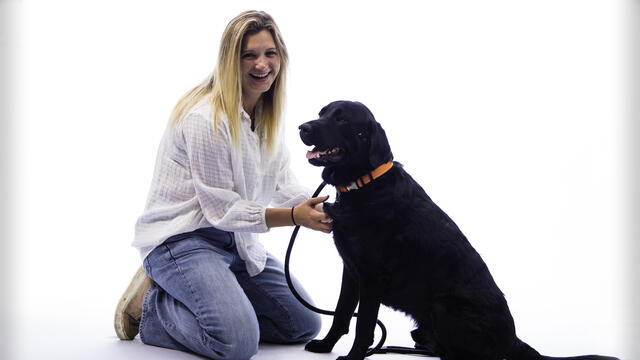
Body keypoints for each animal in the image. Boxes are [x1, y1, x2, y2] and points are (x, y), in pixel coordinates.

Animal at [298, 100, 620, 360]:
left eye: (342, 119)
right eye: (322, 113)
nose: (302, 127)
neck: (364, 185)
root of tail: (514, 341)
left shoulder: (371, 277)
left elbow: (364, 325)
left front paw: (353, 357)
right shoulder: (351, 270)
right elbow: (341, 314)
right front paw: (325, 346)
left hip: (444, 308)